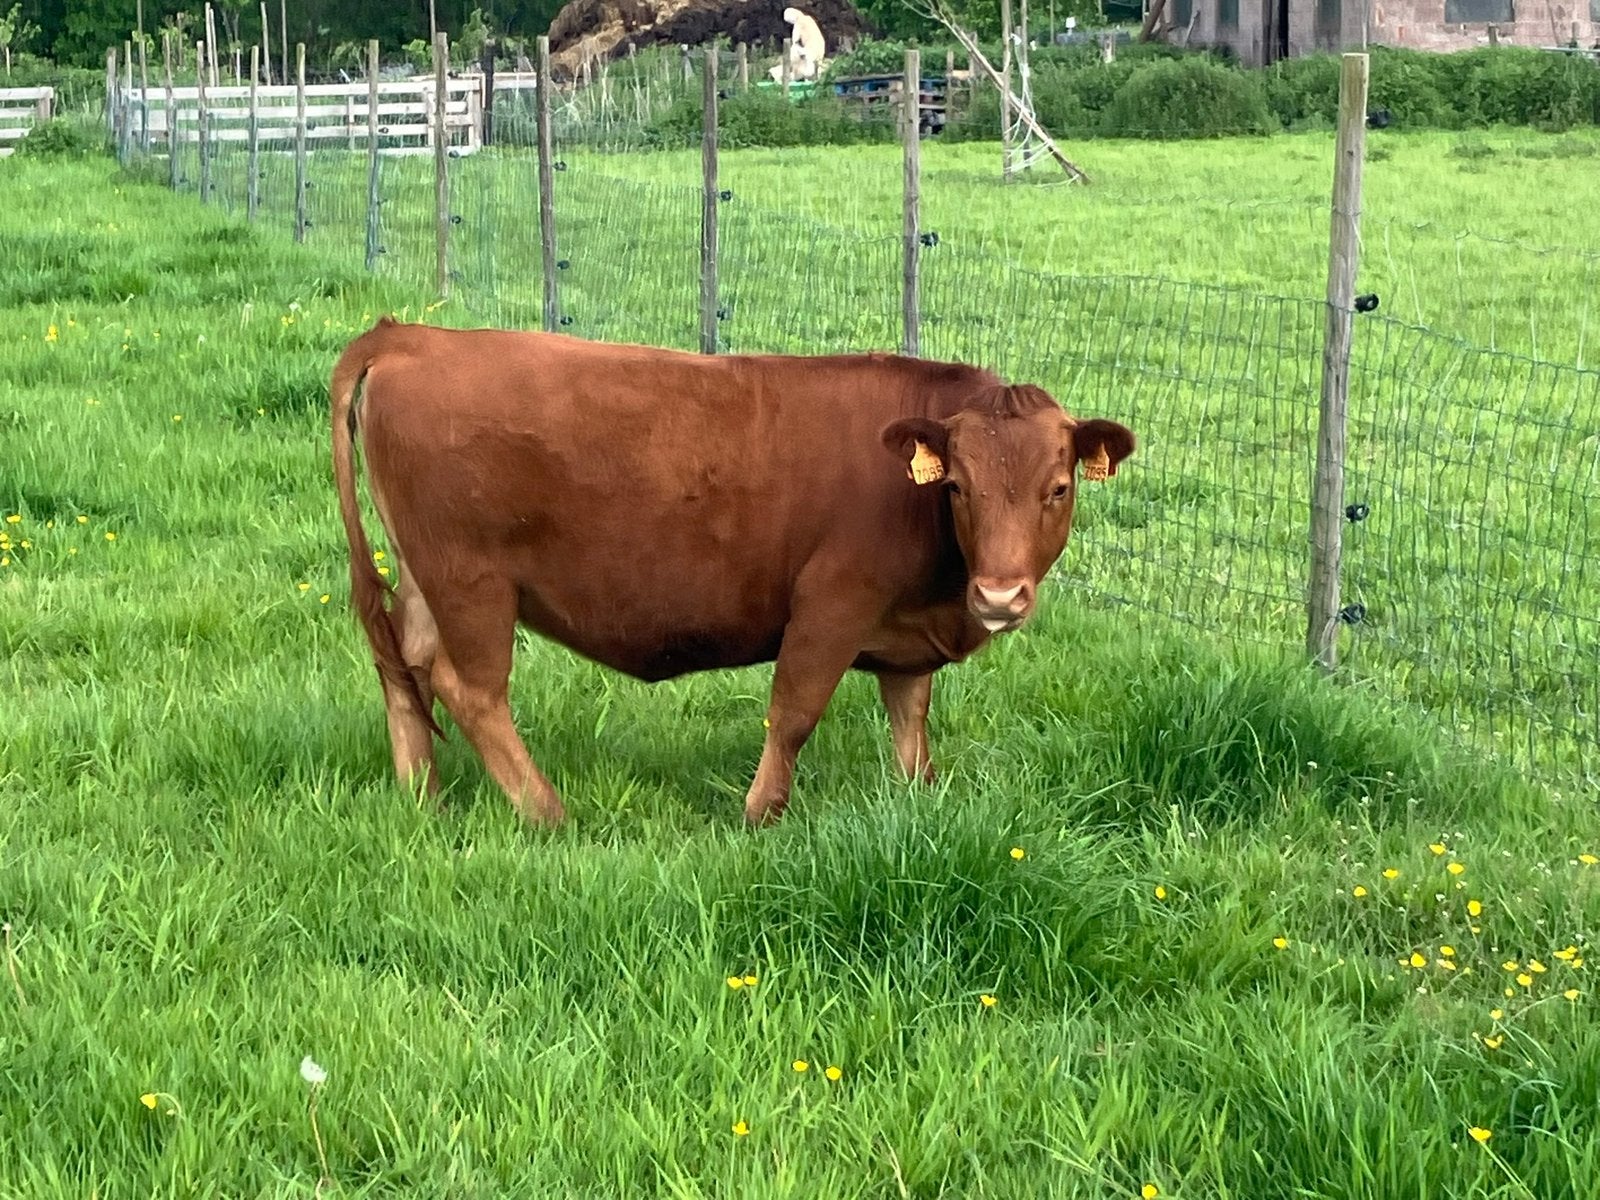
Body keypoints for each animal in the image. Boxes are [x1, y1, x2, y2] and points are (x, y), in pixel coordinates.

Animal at [329, 319, 1134, 827]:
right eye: (959, 487)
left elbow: (911, 728)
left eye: (1058, 488)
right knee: (470, 690)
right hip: (471, 583)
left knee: (403, 665)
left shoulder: (906, 637)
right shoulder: (831, 604)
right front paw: (758, 817)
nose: (999, 594)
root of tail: (411, 336)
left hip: (425, 579)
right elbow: (794, 712)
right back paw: (549, 814)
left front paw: (920, 802)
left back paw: (424, 799)